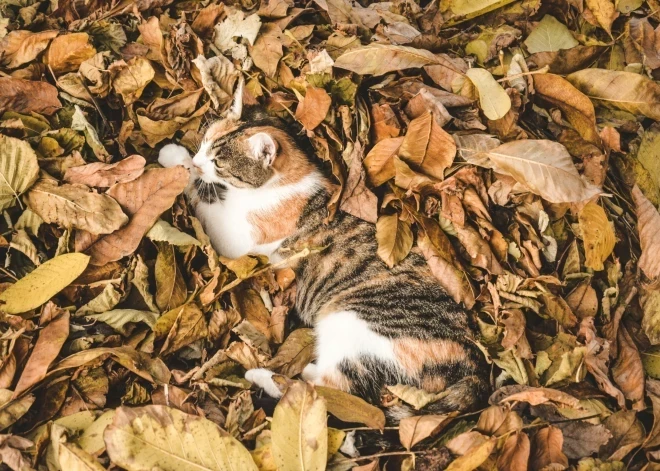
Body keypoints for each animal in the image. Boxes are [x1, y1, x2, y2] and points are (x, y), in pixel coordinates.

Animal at [159, 79, 490, 414]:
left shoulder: (237, 238)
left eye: (218, 163)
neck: (285, 180)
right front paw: (183, 161)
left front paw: (177, 164)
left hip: (355, 322)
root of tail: (474, 364)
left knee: (331, 389)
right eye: (204, 142)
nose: (198, 160)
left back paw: (263, 376)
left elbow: (203, 198)